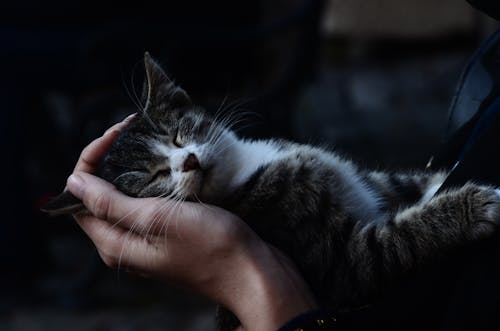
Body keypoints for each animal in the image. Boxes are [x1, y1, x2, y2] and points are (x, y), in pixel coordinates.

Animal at [43, 53, 500, 330]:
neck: (244, 168)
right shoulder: (335, 263)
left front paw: (437, 178)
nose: (187, 162)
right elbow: (388, 248)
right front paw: (472, 207)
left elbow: (397, 182)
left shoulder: (367, 179)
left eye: (176, 135)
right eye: (152, 178)